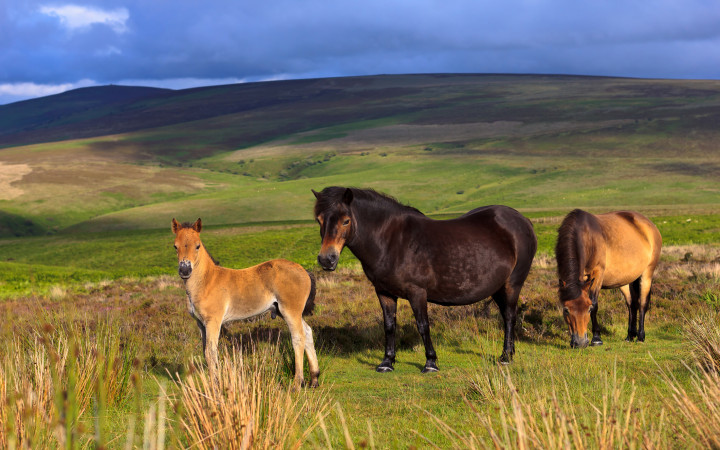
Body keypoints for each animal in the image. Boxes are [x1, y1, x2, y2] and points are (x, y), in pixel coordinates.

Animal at [170, 218, 320, 386]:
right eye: (175, 246)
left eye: (197, 246)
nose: (184, 270)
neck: (207, 281)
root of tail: (304, 270)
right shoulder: (200, 324)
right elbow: (205, 352)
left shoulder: (213, 321)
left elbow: (211, 352)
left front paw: (215, 384)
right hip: (287, 312)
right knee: (308, 332)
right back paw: (314, 378)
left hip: (290, 311)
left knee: (298, 338)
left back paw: (297, 383)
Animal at [310, 186, 536, 370]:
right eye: (319, 220)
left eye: (346, 221)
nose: (326, 259)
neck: (392, 241)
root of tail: (523, 220)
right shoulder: (384, 292)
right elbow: (389, 325)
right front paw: (387, 362)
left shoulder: (417, 292)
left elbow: (422, 325)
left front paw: (430, 362)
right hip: (497, 287)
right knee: (506, 316)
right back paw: (509, 353)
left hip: (512, 284)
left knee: (509, 316)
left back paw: (505, 357)